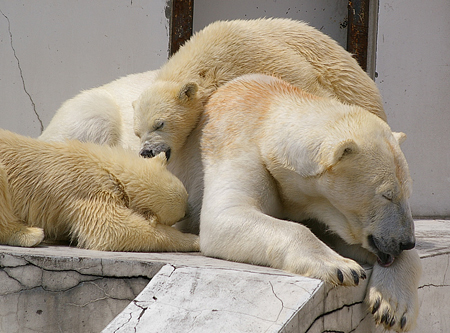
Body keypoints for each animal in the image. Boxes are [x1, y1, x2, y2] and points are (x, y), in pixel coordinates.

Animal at [40, 18, 420, 330]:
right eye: (386, 193)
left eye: (404, 192)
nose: (406, 240)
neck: (268, 103)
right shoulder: (235, 143)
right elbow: (228, 216)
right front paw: (341, 266)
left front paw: (391, 304)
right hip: (93, 116)